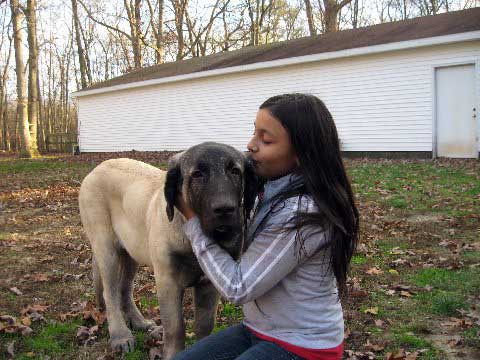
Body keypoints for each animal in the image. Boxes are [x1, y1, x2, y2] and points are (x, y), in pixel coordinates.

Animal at [78, 142, 256, 358]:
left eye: (235, 171)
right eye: (197, 174)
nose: (225, 209)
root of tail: (97, 168)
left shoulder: (209, 284)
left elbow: (204, 325)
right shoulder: (168, 281)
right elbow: (175, 328)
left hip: (131, 252)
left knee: (124, 288)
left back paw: (139, 322)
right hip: (106, 249)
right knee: (110, 293)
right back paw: (120, 335)